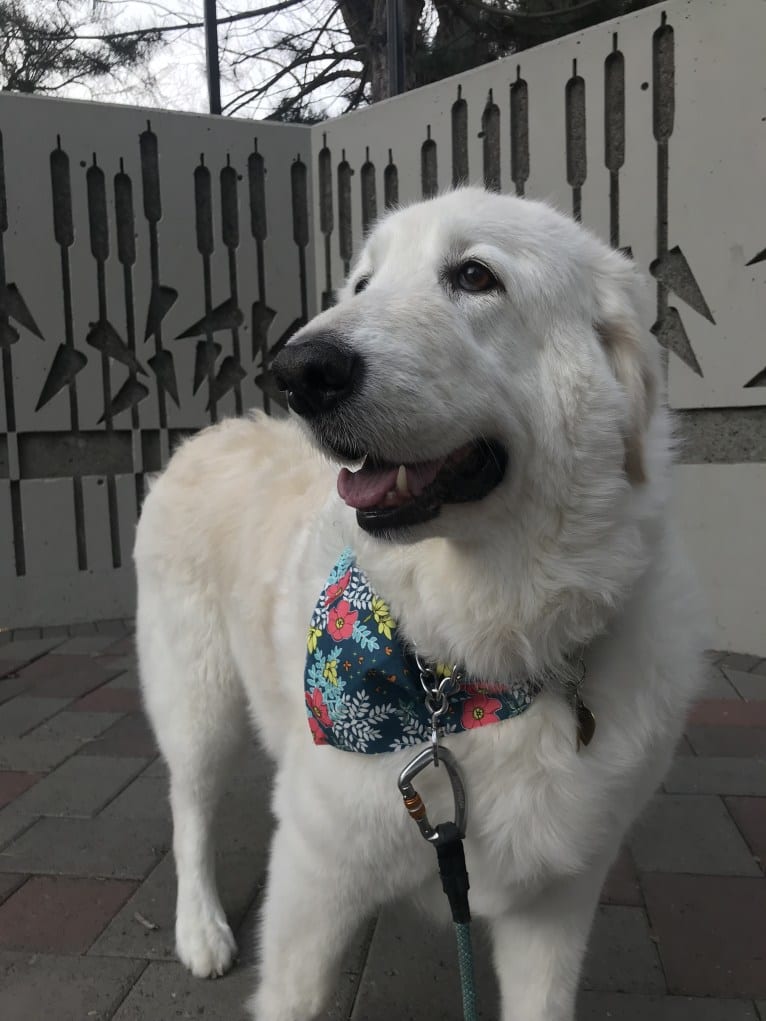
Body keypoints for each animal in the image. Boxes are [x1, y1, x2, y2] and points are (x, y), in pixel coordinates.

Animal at [134, 189, 706, 1021]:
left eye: (474, 275)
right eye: (362, 284)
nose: (299, 371)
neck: (470, 666)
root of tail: (208, 433)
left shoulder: (556, 902)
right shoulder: (311, 879)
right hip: (197, 702)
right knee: (189, 810)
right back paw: (200, 927)